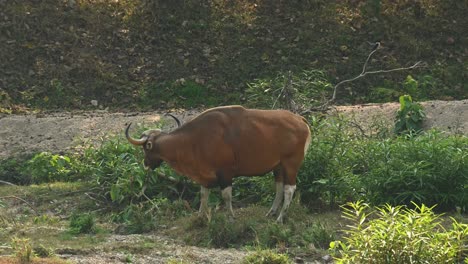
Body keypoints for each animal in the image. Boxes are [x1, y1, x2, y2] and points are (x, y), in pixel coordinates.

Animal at [126, 105, 312, 223]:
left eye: (146, 147)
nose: (145, 163)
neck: (194, 139)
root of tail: (300, 120)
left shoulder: (225, 173)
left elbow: (226, 195)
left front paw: (231, 217)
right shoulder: (204, 175)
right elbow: (203, 195)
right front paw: (200, 217)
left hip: (291, 163)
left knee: (289, 189)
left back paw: (280, 218)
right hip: (278, 166)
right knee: (279, 187)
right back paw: (272, 212)